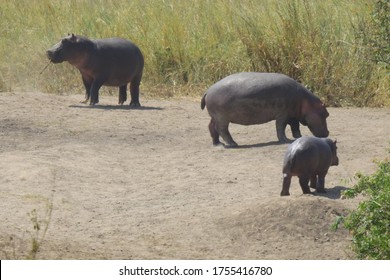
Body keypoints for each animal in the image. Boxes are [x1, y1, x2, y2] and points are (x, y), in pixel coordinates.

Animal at [201, 72, 330, 148]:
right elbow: (281, 128)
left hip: (215, 117)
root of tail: (208, 91)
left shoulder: (293, 116)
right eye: (326, 114)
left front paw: (298, 136)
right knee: (222, 129)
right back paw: (233, 144)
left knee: (211, 127)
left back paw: (218, 144)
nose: (328, 133)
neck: (306, 102)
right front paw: (285, 140)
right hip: (222, 118)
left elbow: (295, 126)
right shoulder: (283, 115)